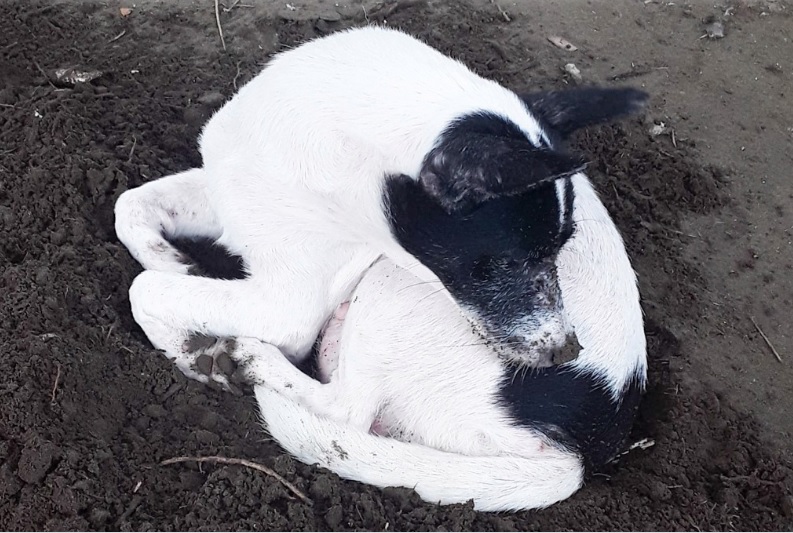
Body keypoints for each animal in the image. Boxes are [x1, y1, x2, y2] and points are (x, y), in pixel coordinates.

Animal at [119, 27, 648, 510]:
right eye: (511, 263)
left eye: (556, 250)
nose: (568, 350)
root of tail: (581, 453)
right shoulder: (231, 197)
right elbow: (131, 209)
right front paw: (178, 266)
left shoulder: (288, 309)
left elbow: (144, 288)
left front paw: (187, 351)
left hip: (391, 292)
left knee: (348, 410)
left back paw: (248, 357)